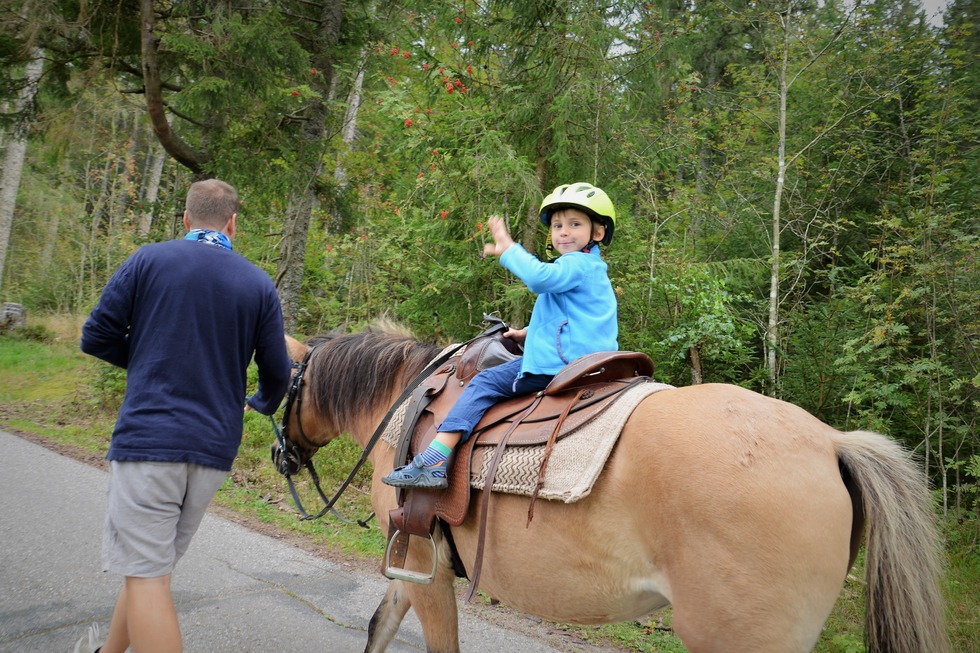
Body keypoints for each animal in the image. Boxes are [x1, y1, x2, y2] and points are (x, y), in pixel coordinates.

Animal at [272, 320, 944, 652]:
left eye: (285, 386)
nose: (281, 454)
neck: (408, 398)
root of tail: (831, 442)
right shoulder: (415, 564)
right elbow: (378, 627)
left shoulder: (422, 561)